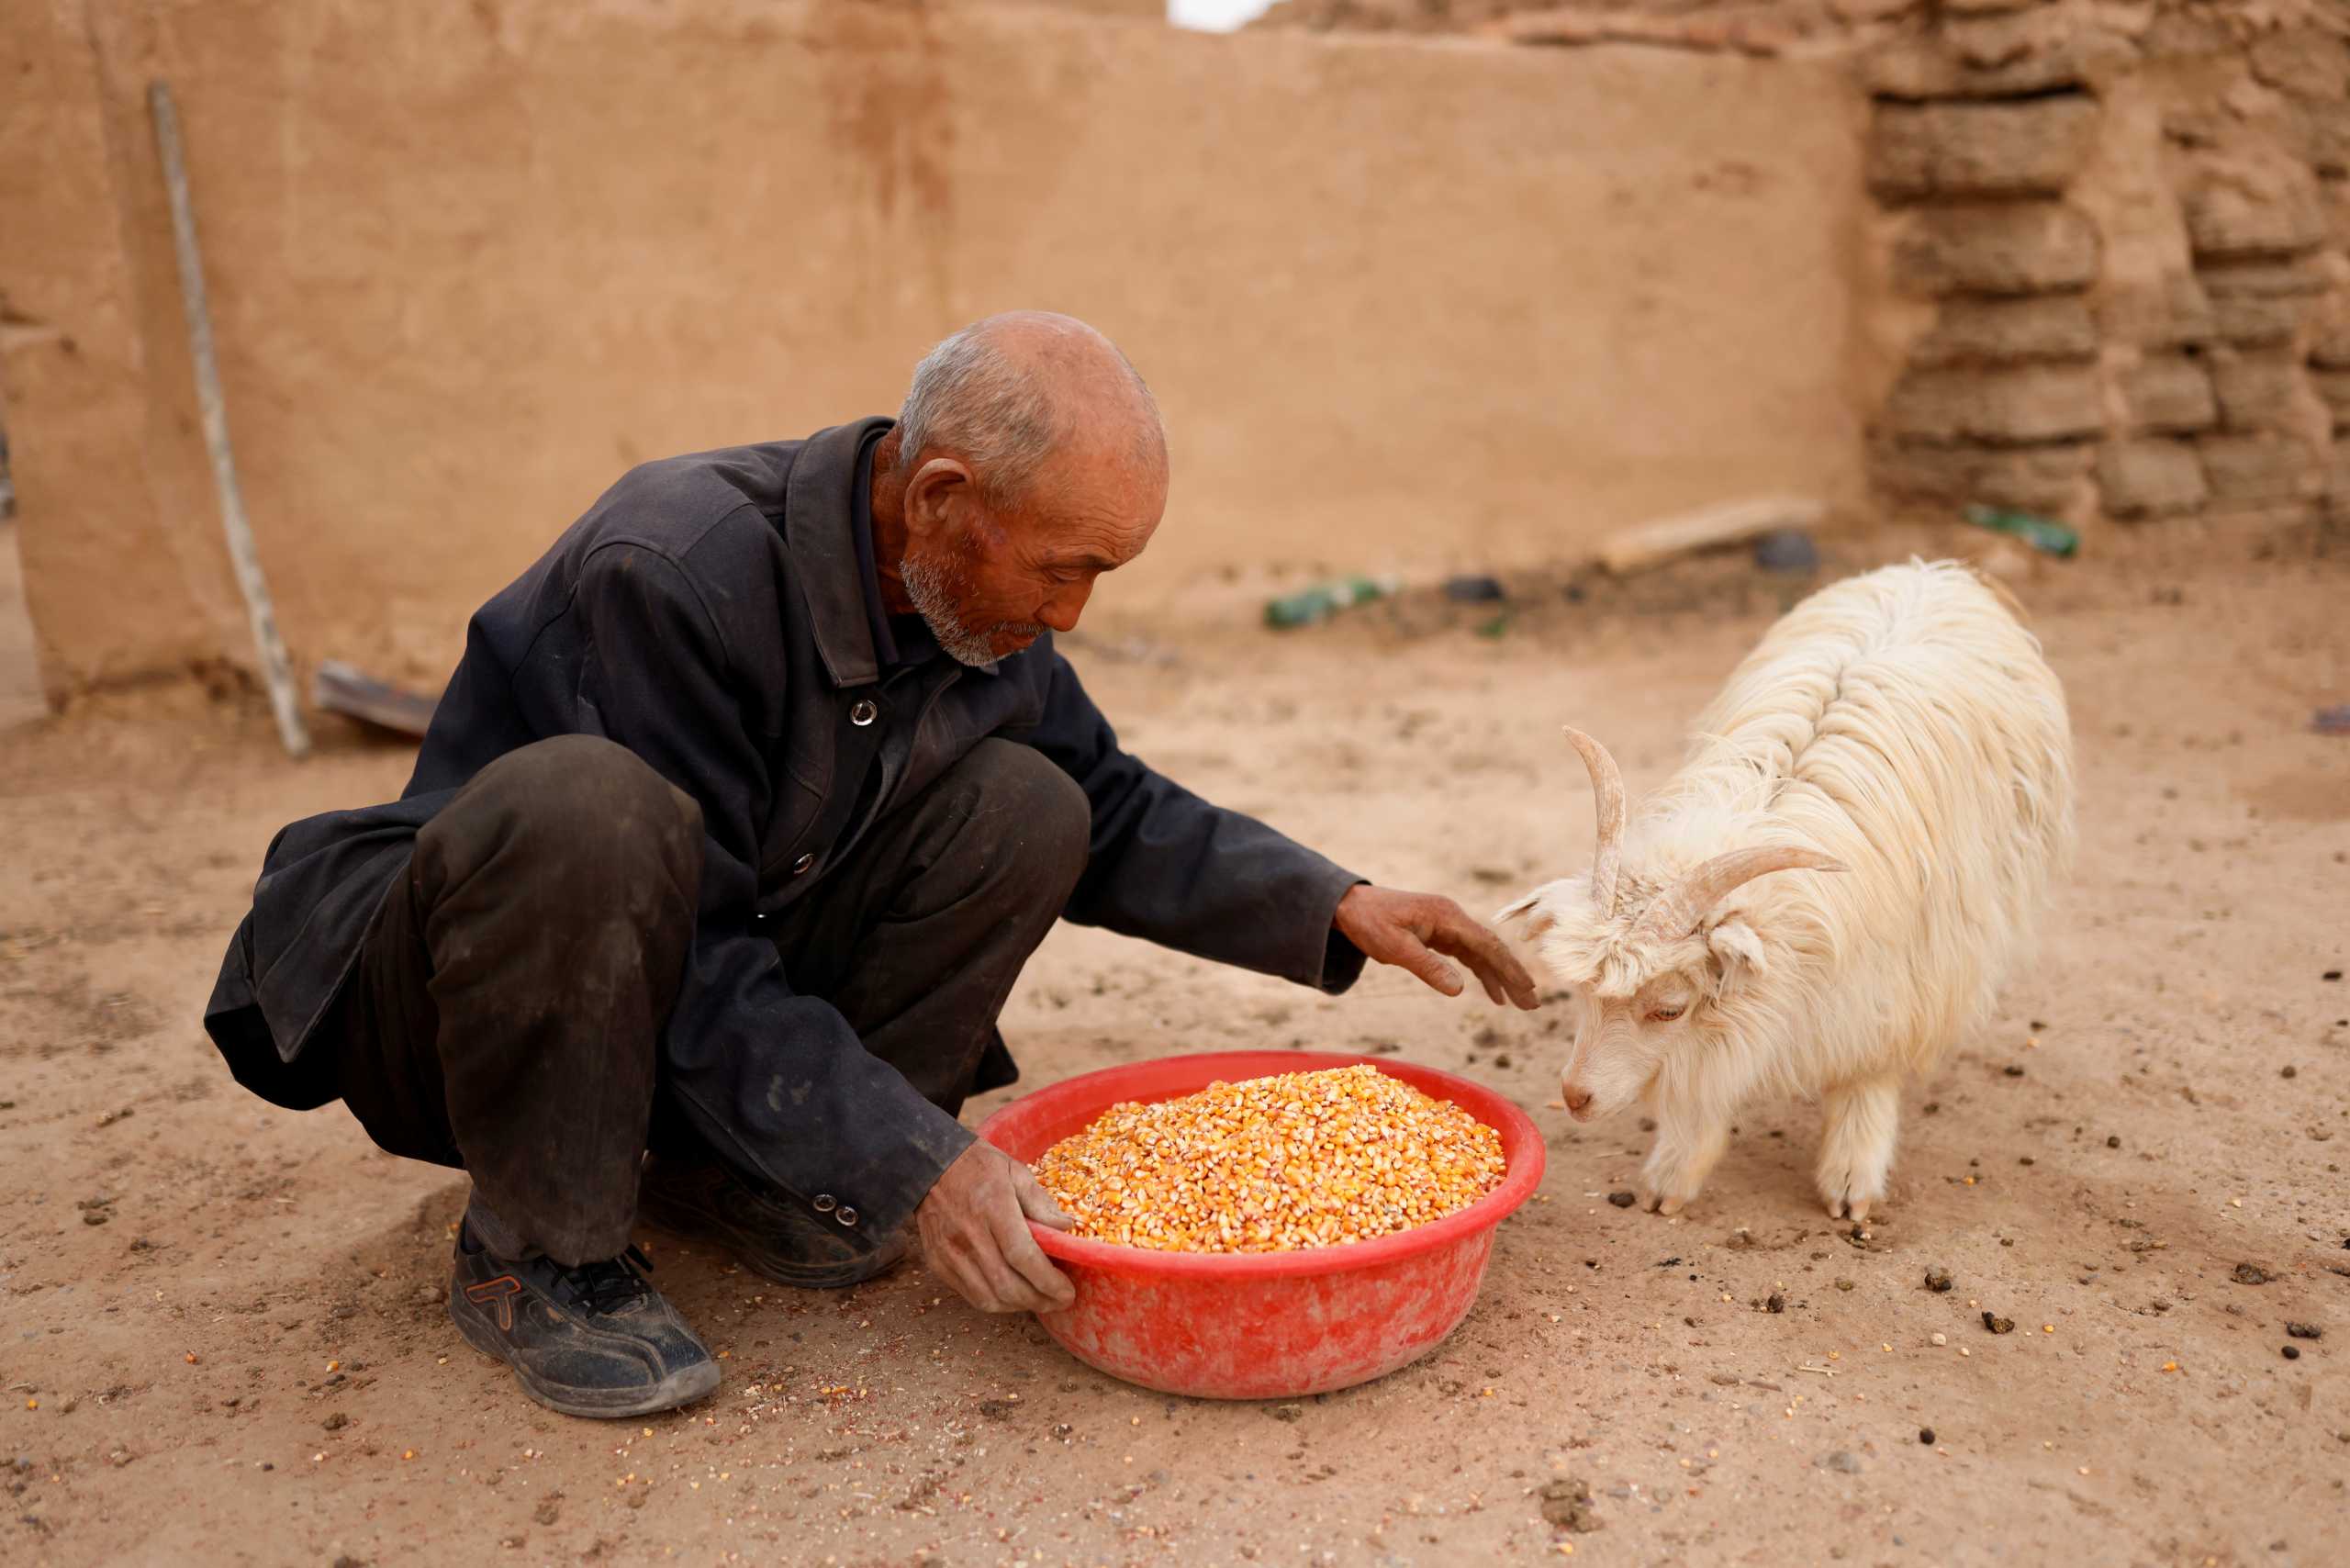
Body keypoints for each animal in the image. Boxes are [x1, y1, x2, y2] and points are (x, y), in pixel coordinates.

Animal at [1504, 556, 2077, 1222]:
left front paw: (1852, 1182)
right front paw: (1672, 1176)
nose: (1575, 1097)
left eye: (1668, 1008)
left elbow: (1867, 1071)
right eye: (1581, 995)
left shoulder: (1903, 978)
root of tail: (1931, 571)